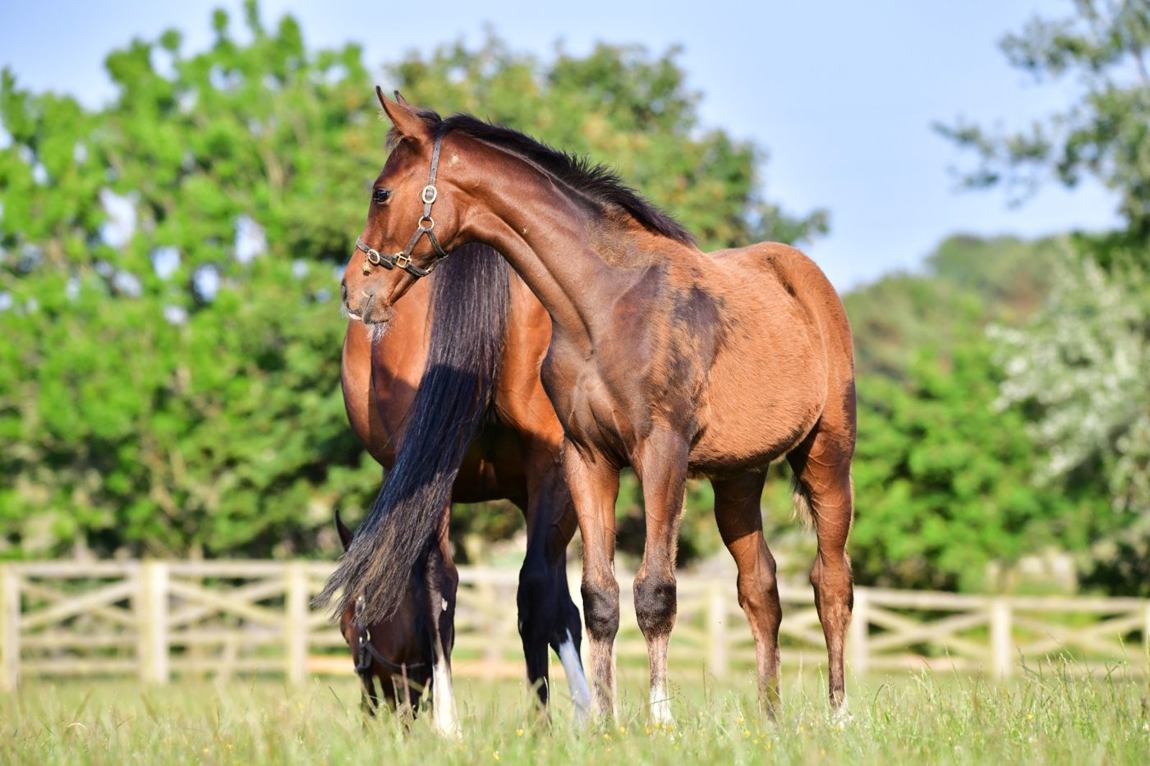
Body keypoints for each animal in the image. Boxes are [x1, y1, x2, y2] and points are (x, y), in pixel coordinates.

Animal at [327, 239, 591, 735]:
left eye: (351, 621)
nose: (376, 714)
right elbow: (557, 606)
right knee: (525, 586)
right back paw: (544, 721)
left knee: (445, 585)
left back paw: (455, 724)